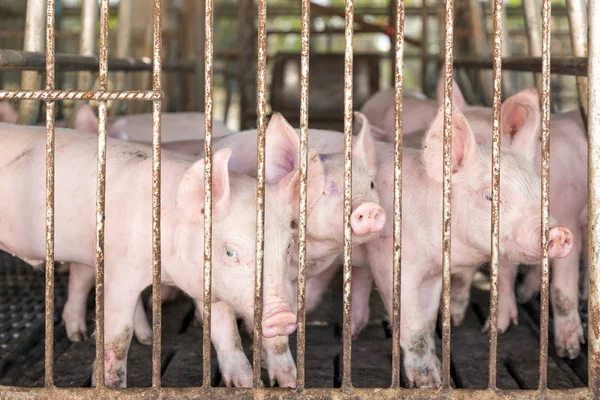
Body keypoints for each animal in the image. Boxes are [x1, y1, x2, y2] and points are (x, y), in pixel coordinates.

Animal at [0, 124, 302, 388]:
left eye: (288, 246)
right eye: (230, 252)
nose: (283, 316)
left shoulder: (206, 283)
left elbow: (226, 332)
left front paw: (249, 384)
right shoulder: (121, 270)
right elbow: (118, 335)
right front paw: (111, 387)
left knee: (79, 276)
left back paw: (94, 336)